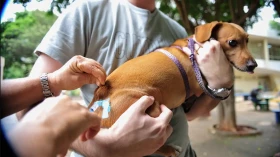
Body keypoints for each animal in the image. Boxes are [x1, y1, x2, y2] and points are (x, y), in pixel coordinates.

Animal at [88, 21, 258, 157]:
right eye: (232, 42)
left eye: (247, 40)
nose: (253, 65)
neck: (193, 48)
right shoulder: (199, 87)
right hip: (151, 107)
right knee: (145, 147)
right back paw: (168, 149)